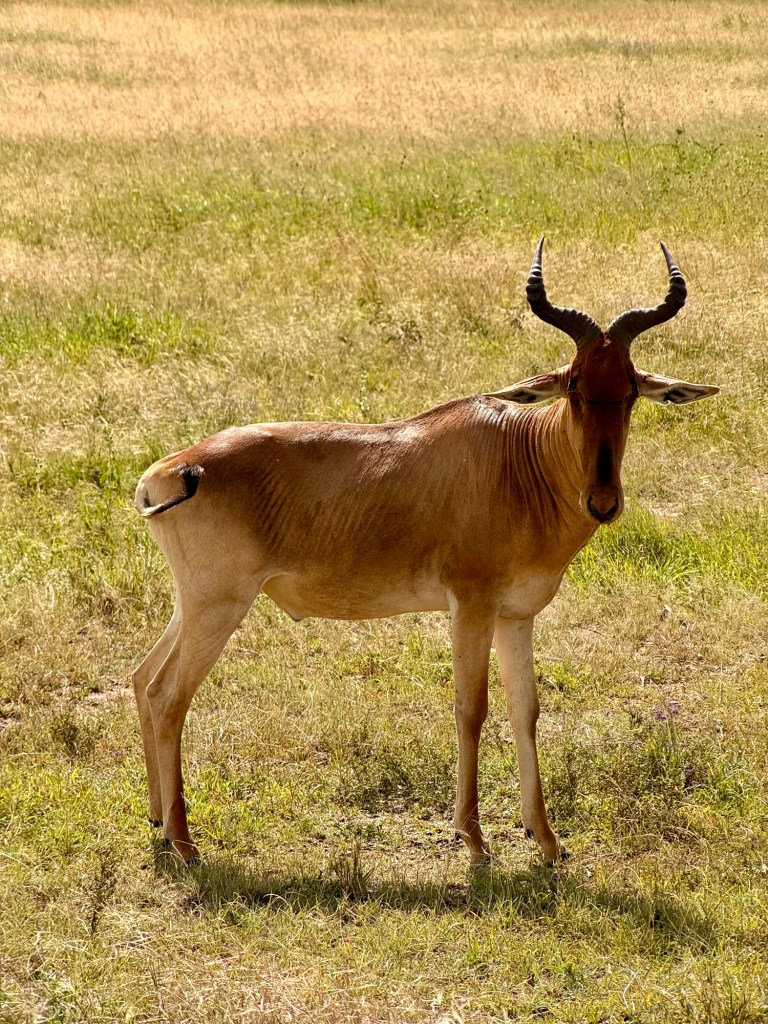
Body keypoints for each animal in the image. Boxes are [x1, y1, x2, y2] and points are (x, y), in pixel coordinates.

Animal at [133, 238, 719, 866]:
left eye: (630, 391)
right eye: (574, 387)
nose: (603, 501)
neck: (517, 456)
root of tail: (171, 470)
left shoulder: (515, 616)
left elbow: (526, 710)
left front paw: (546, 840)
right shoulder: (471, 605)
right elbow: (471, 708)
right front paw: (475, 840)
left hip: (194, 603)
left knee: (143, 678)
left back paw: (157, 819)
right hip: (220, 606)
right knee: (169, 696)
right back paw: (185, 842)